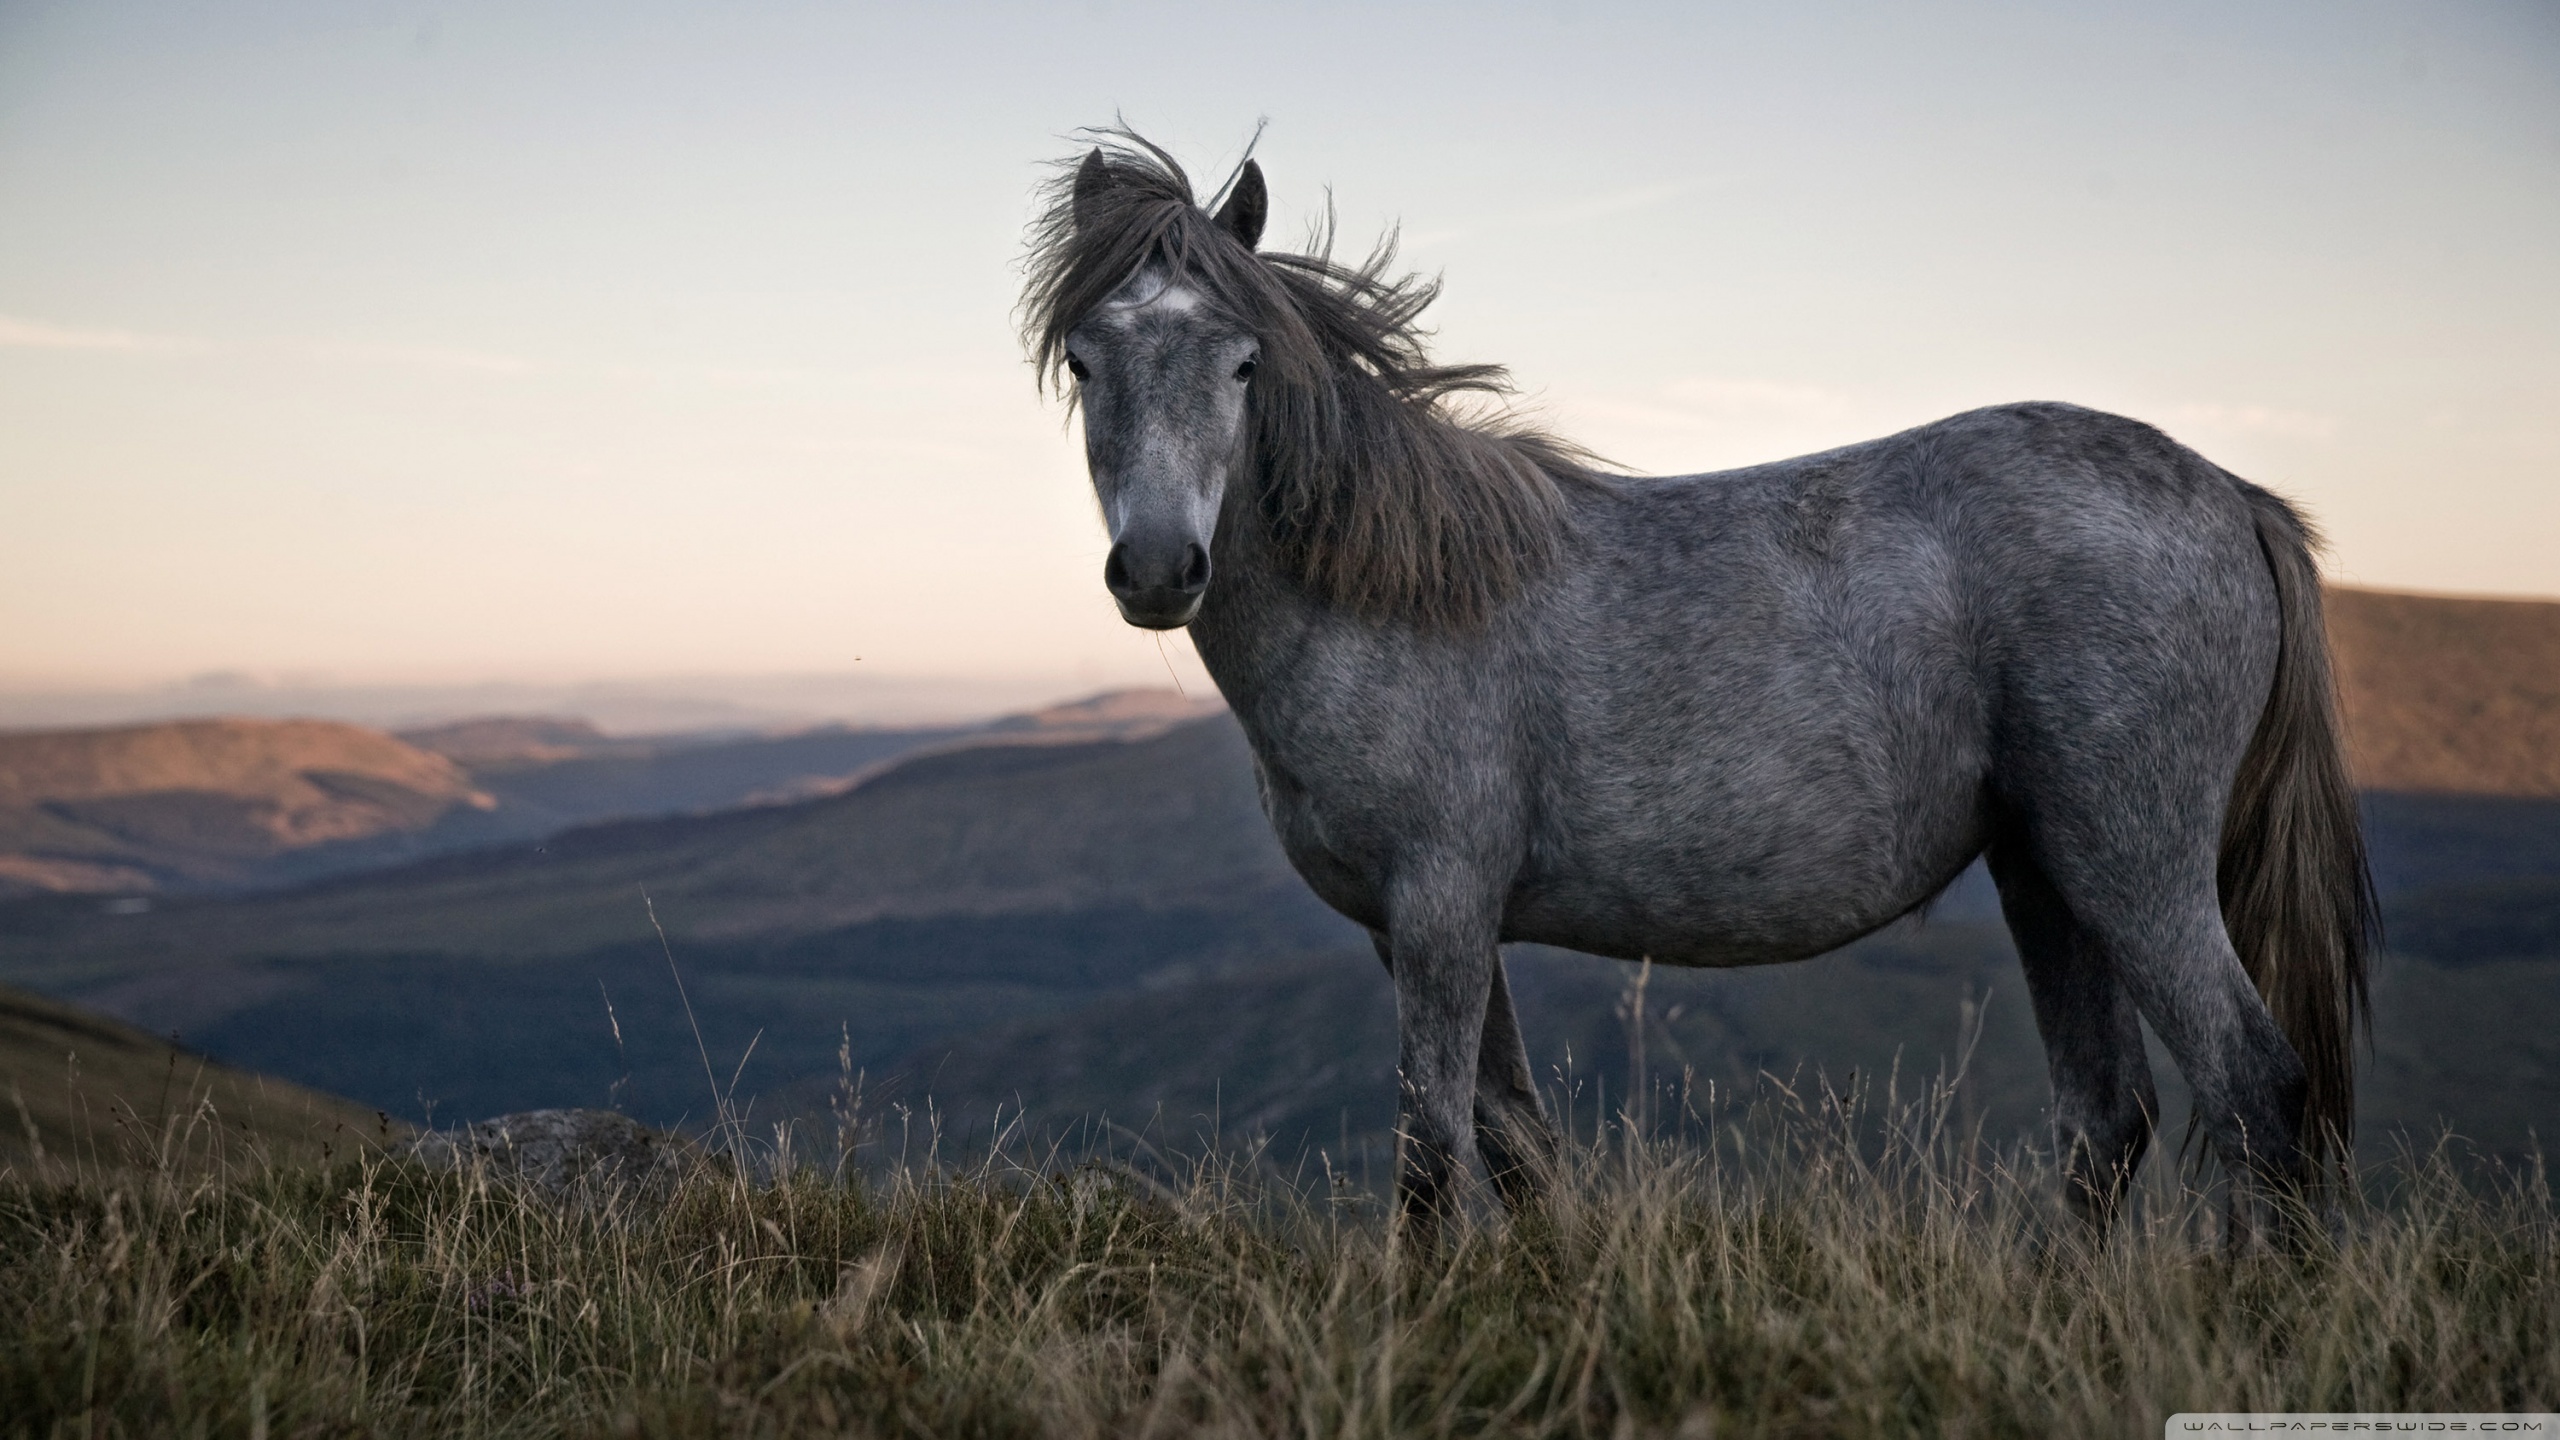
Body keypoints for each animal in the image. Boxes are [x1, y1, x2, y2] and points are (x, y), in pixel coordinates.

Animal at [1019, 132, 2374, 1236]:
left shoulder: (1442, 908)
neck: (1395, 596)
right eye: (1084, 360)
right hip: (2045, 872)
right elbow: (1514, 1146)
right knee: (2106, 1120)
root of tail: (2233, 497)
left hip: (2132, 866)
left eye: (1242, 363)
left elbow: (1433, 1157)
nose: (1158, 567)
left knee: (2254, 1087)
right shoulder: (1414, 927)